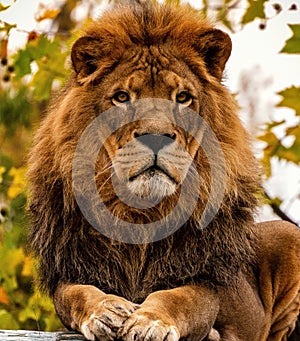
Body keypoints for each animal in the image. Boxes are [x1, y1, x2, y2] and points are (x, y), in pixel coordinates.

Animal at [27, 3, 298, 340]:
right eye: (122, 97)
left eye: (182, 98)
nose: (155, 137)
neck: (142, 214)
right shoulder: (73, 270)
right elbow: (77, 294)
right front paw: (106, 311)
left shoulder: (203, 280)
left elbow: (177, 298)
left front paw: (149, 321)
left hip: (288, 235)